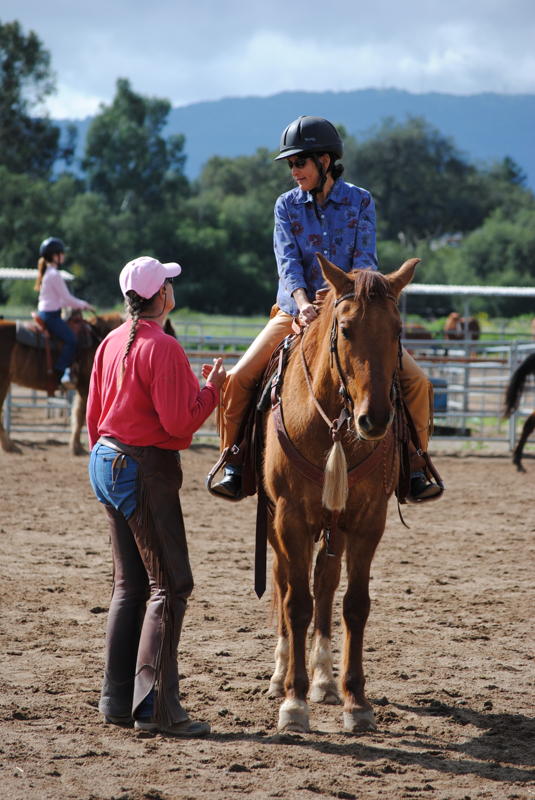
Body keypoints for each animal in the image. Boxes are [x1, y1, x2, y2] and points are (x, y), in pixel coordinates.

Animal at [0, 310, 122, 454]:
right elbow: (82, 415)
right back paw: (10, 446)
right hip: (3, 380)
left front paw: (76, 445)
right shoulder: (86, 385)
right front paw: (76, 447)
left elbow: (78, 414)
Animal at [262, 255, 420, 732]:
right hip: (275, 522)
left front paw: (356, 701)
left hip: (335, 528)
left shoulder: (367, 521)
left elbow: (353, 604)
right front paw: (294, 703)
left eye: (397, 329)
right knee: (285, 584)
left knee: (326, 586)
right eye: (346, 329)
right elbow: (296, 604)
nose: (375, 419)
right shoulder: (290, 518)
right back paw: (281, 675)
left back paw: (324, 681)